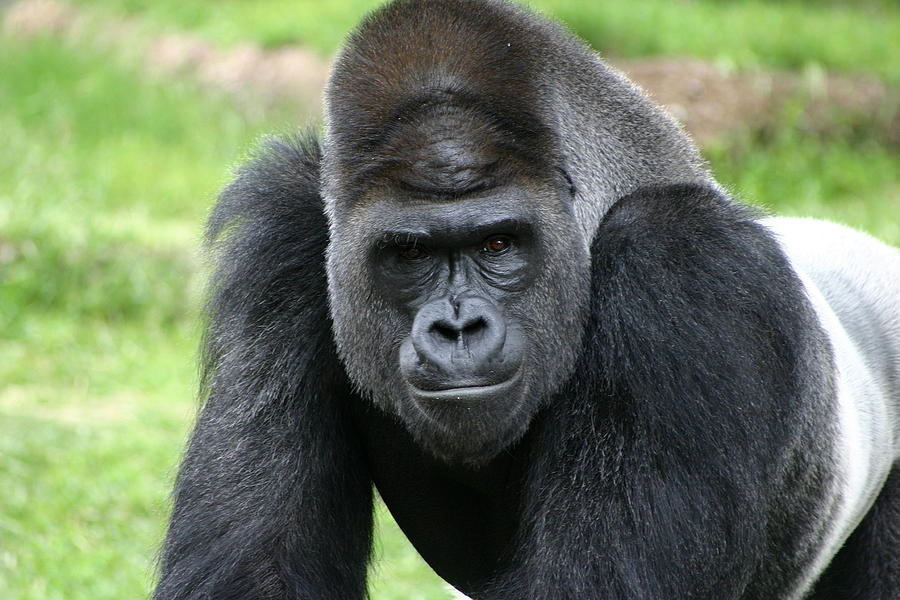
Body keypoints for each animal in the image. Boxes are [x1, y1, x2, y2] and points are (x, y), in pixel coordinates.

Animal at [155, 1, 900, 600]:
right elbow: (256, 570)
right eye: (410, 255)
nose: (458, 327)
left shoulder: (688, 266)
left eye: (498, 244)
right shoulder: (285, 234)